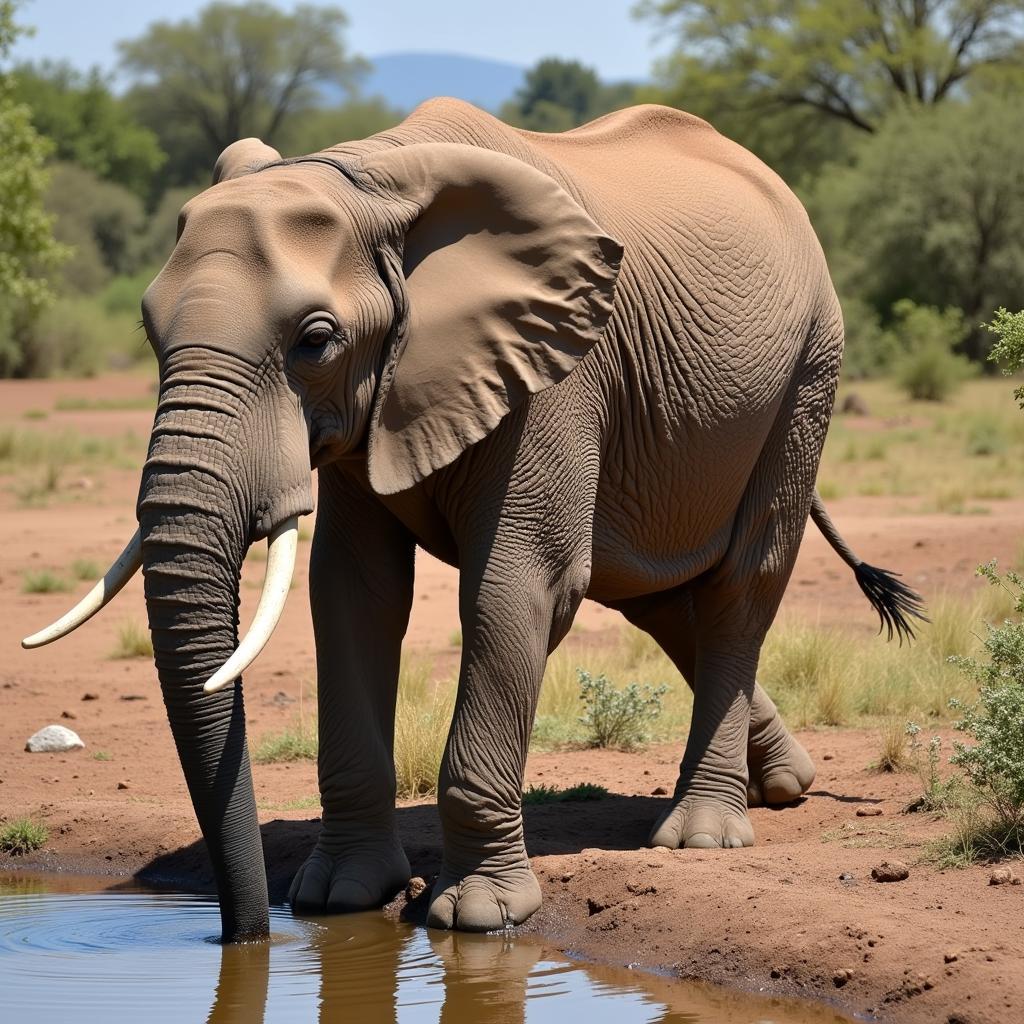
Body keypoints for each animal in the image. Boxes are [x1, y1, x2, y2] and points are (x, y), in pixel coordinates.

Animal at [24, 97, 925, 942]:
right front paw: (339, 899)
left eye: (316, 341)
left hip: (809, 369)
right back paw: (785, 783)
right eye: (149, 329)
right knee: (658, 595)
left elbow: (516, 588)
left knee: (741, 583)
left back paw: (702, 834)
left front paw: (480, 917)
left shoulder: (557, 369)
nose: (242, 935)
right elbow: (353, 593)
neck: (368, 181)